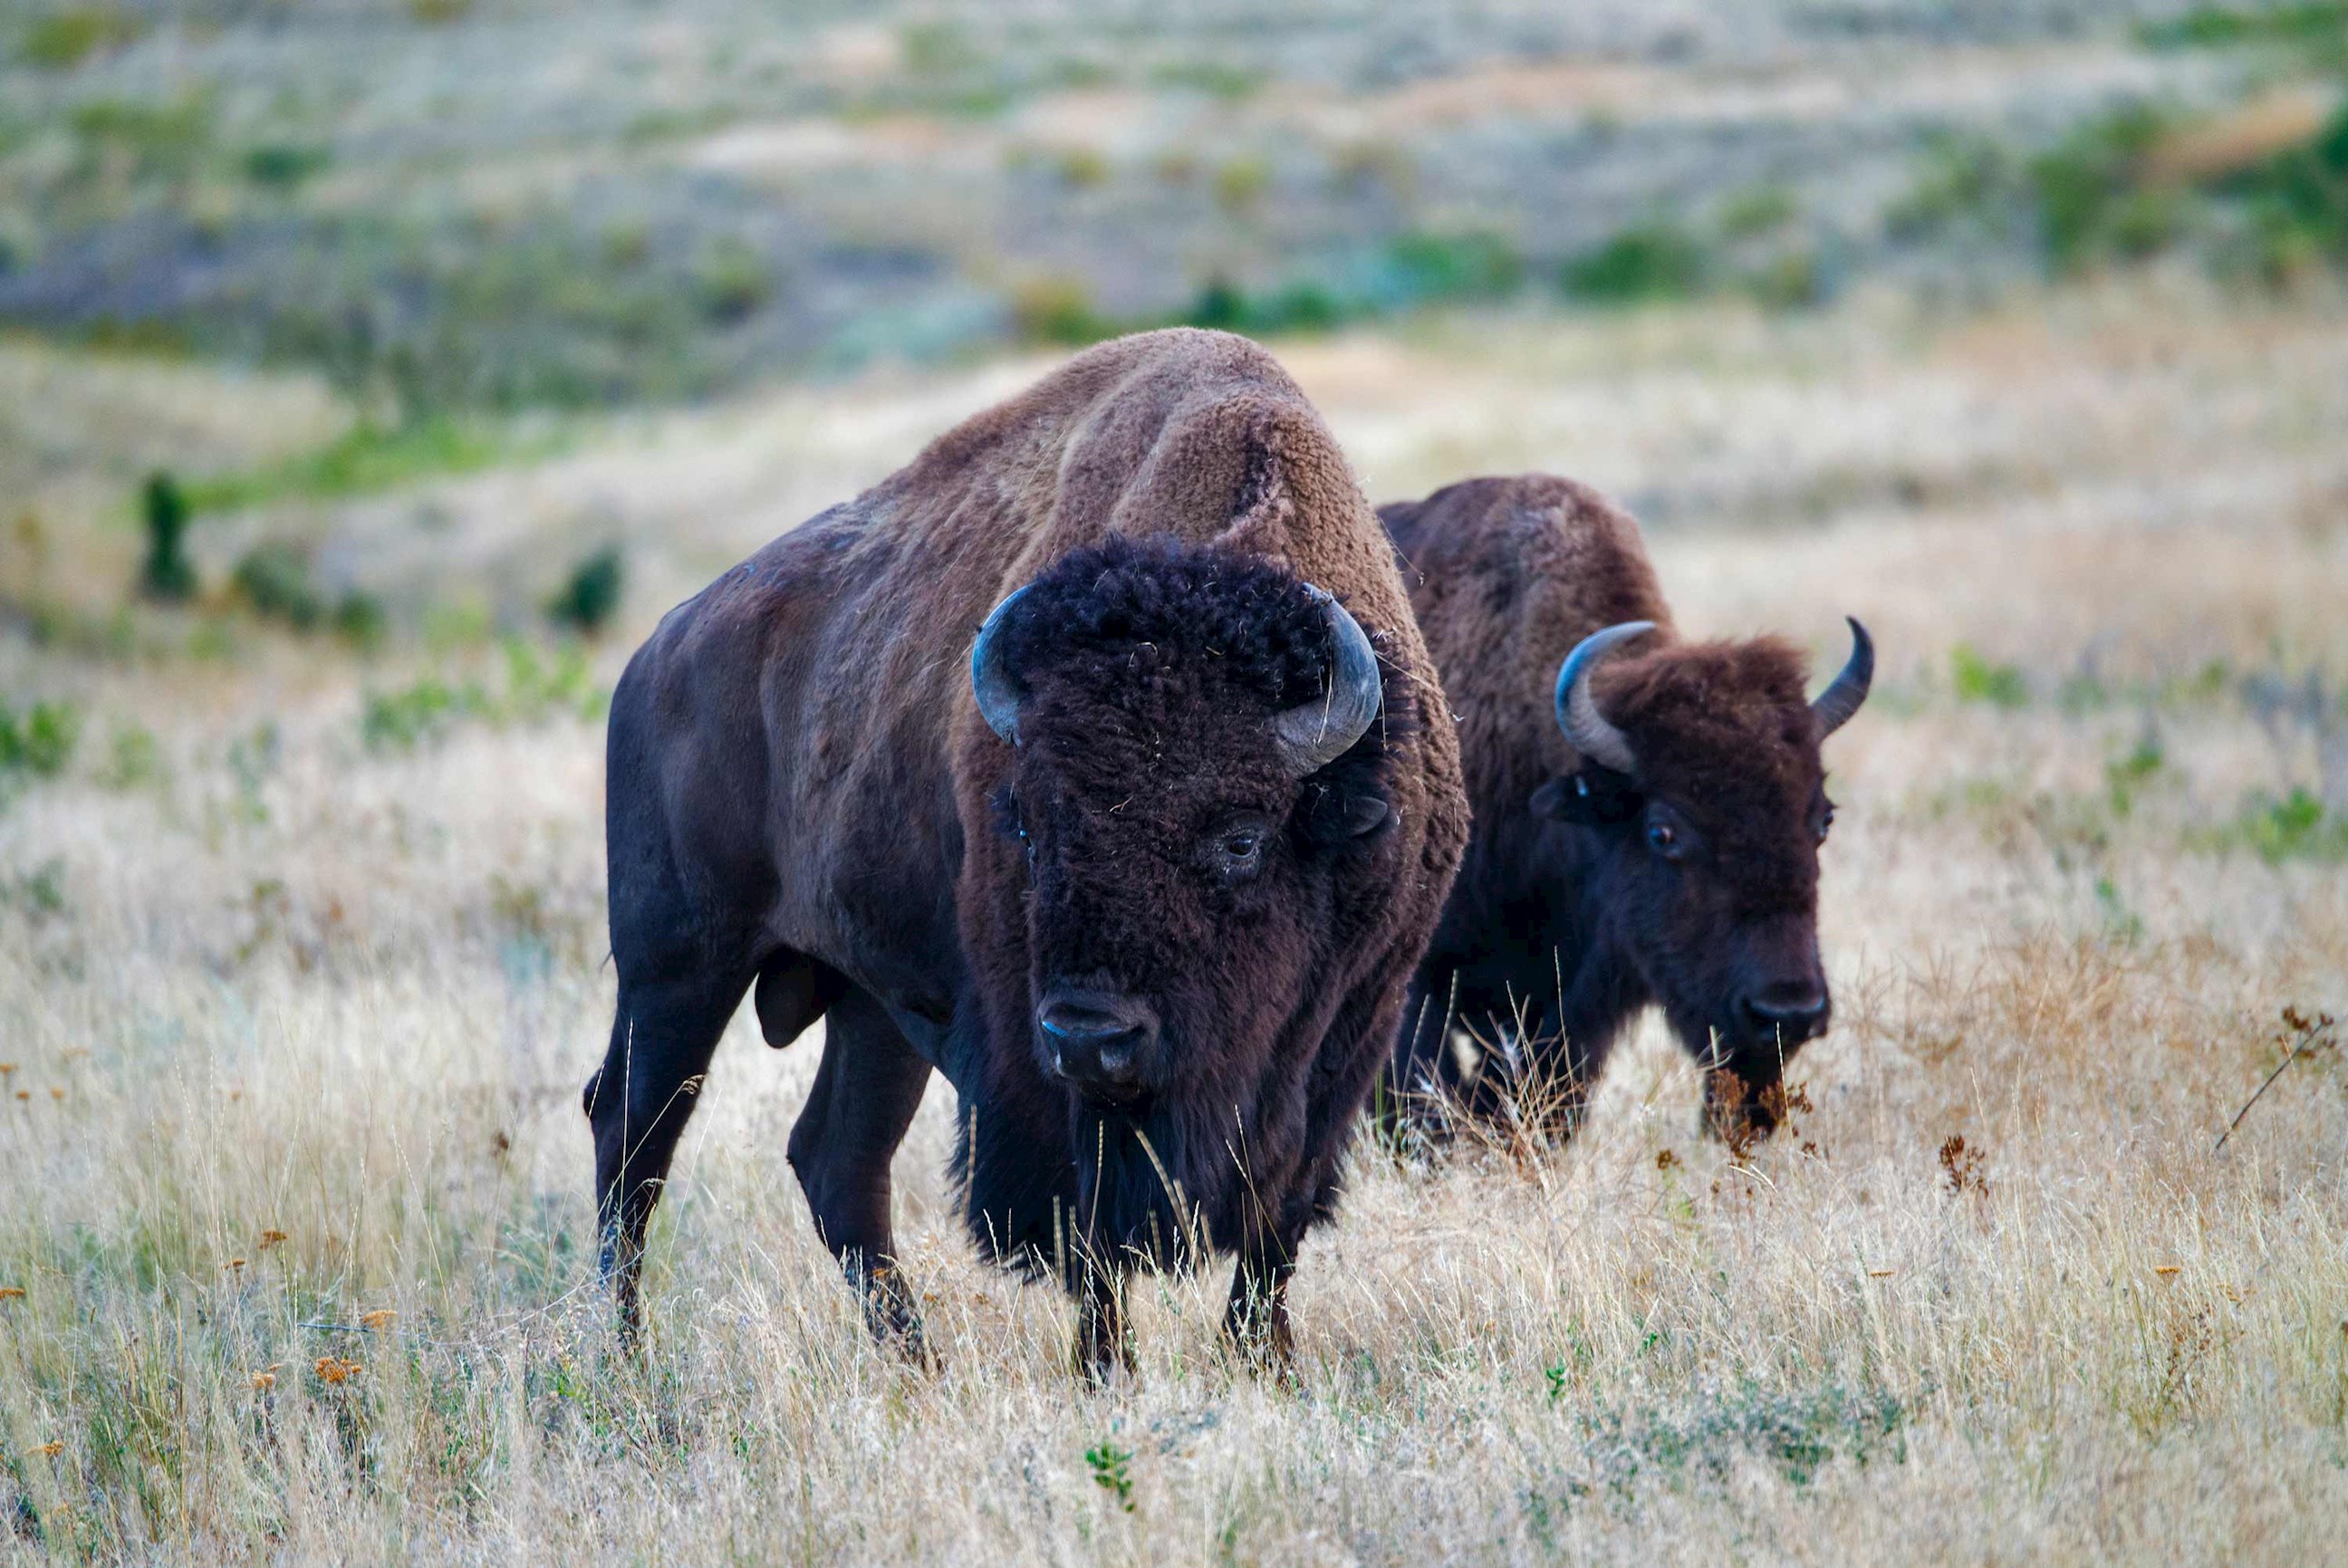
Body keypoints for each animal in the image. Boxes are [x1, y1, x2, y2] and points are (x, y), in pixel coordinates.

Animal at [585, 329, 1467, 1375]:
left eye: (1242, 837)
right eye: (1030, 826)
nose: (1093, 1034)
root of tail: (655, 655)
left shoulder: (1349, 1035)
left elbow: (1277, 1214)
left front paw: (1262, 1360)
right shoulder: (1029, 1052)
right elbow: (1085, 1219)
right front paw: (1107, 1369)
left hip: (873, 1006)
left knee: (835, 1159)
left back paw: (915, 1364)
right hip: (678, 967)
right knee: (631, 1136)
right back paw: (621, 1362)